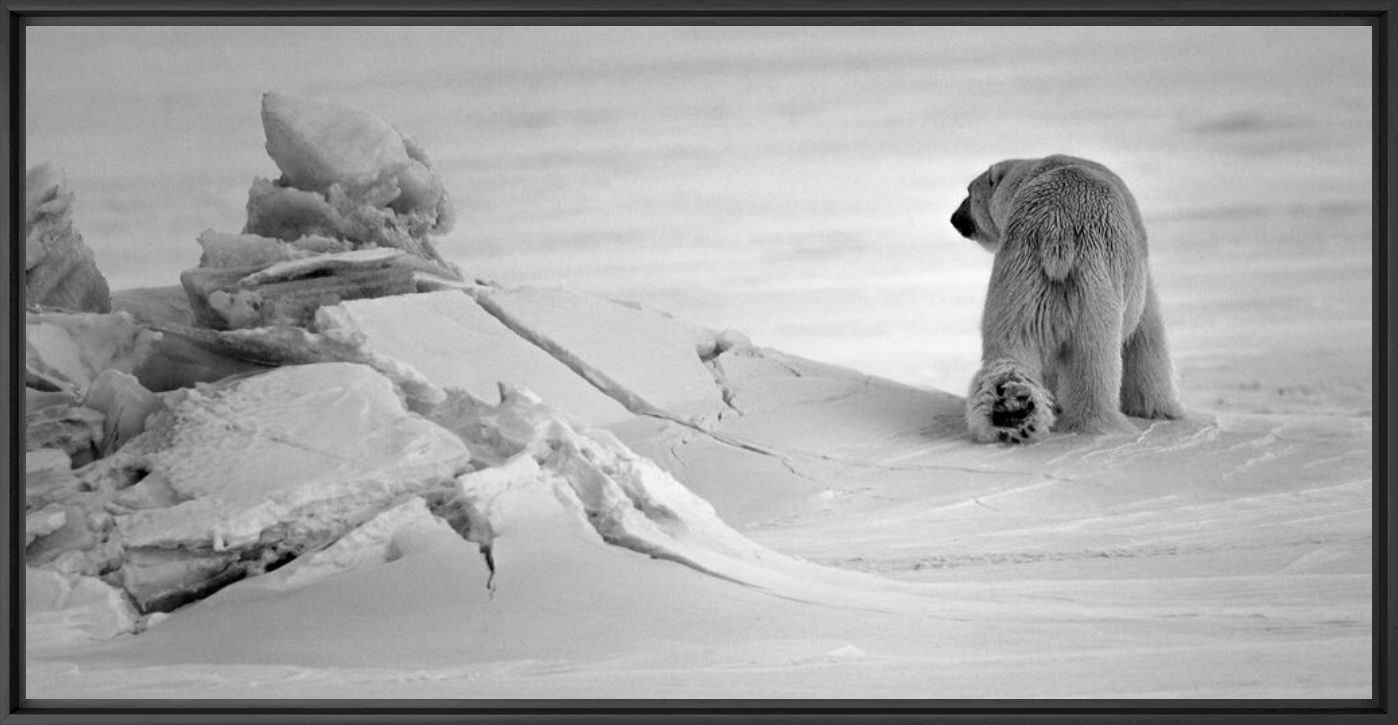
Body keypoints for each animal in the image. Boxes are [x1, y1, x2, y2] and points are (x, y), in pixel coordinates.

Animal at [950, 155, 1179, 444]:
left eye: (968, 192)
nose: (954, 218)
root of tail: (1056, 226)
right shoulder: (1138, 279)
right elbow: (1146, 339)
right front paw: (1160, 409)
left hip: (1021, 276)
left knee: (1012, 343)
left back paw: (1011, 409)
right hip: (1094, 285)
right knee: (1093, 357)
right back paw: (1097, 424)